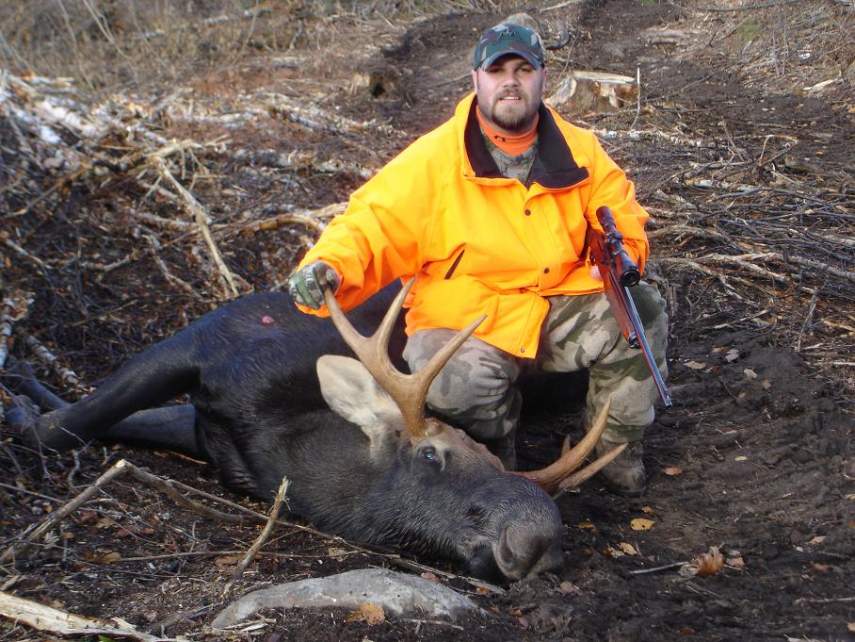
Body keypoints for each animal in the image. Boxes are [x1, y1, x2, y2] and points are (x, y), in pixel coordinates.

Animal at [6, 280, 620, 580]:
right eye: (431, 454)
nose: (537, 538)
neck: (280, 441)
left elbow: (84, 423)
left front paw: (21, 396)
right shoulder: (212, 340)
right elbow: (71, 423)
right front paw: (20, 392)